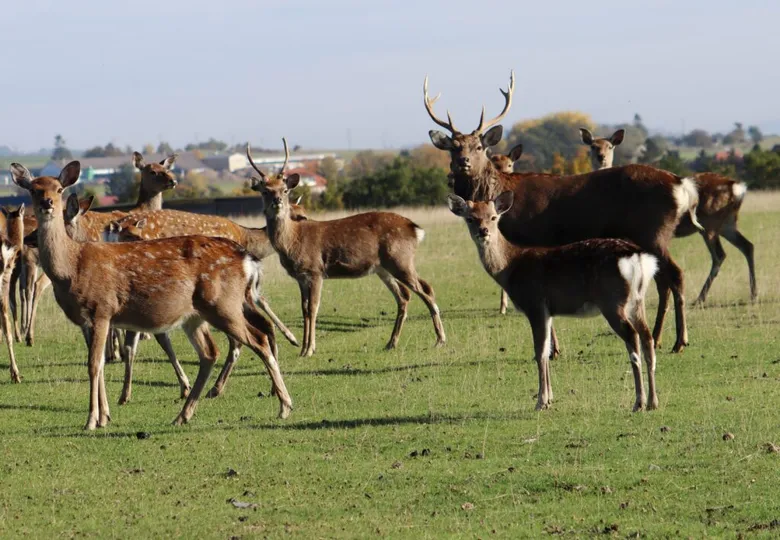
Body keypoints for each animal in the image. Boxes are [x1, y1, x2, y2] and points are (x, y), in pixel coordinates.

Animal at [10, 160, 293, 430]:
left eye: (58, 189)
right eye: (34, 189)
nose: (47, 203)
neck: (72, 267)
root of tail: (247, 259)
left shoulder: (102, 309)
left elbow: (94, 364)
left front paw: (92, 420)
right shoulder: (89, 320)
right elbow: (99, 363)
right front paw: (105, 417)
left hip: (224, 304)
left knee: (257, 339)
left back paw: (284, 406)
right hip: (197, 315)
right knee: (210, 352)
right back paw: (183, 415)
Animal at [248, 139, 446, 358]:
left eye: (285, 190)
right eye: (265, 191)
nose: (277, 201)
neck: (292, 241)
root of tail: (415, 229)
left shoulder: (315, 270)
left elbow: (313, 308)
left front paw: (310, 349)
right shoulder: (301, 277)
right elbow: (304, 309)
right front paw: (303, 349)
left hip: (400, 259)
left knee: (425, 289)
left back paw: (440, 339)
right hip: (384, 268)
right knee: (405, 295)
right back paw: (391, 343)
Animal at [424, 71, 702, 353]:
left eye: (479, 147)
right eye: (453, 147)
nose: (463, 162)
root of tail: (680, 184)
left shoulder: (533, 240)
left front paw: (554, 348)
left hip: (653, 231)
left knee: (675, 275)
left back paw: (680, 340)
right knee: (663, 280)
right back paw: (658, 337)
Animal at [449, 192, 659, 411]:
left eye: (493, 217)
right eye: (470, 218)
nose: (483, 231)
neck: (510, 268)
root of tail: (639, 258)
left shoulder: (535, 304)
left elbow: (540, 351)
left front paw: (541, 402)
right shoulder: (548, 311)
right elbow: (547, 349)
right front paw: (549, 398)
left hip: (612, 301)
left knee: (632, 336)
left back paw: (639, 402)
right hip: (637, 301)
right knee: (647, 337)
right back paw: (653, 402)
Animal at [578, 129, 756, 304]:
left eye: (610, 146)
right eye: (593, 146)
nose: (601, 157)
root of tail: (738, 188)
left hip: (710, 224)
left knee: (719, 255)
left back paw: (700, 298)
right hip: (728, 223)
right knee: (747, 246)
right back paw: (753, 294)